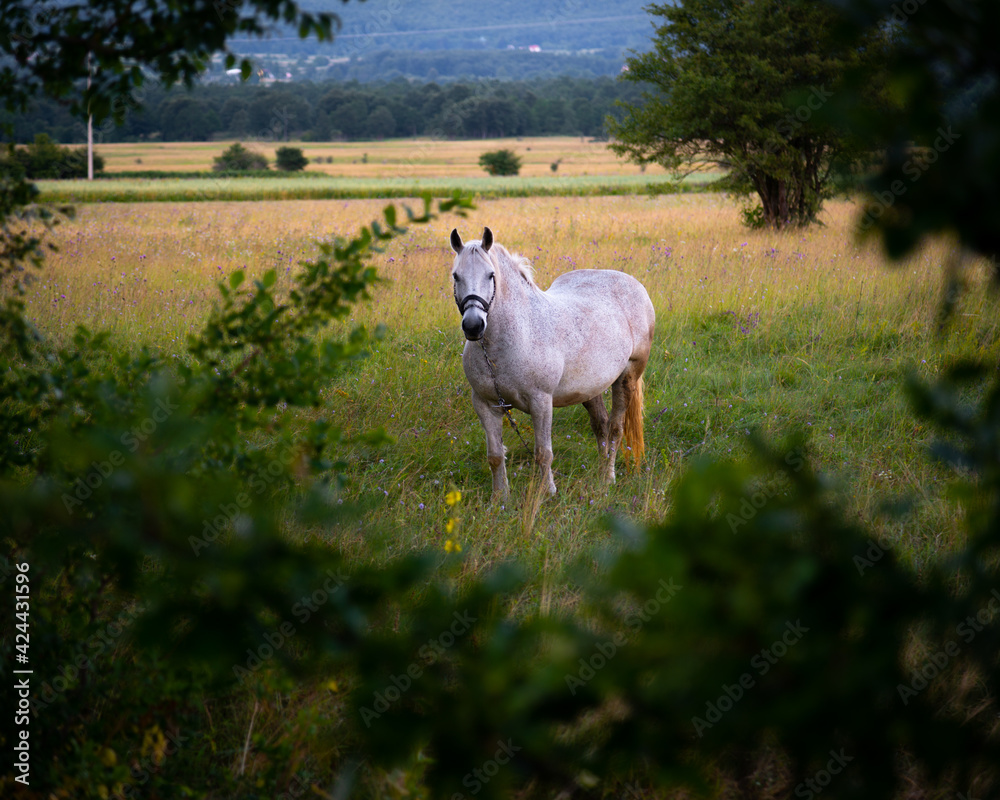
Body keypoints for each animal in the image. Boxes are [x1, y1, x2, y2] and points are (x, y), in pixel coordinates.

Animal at [450, 226, 656, 500]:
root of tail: (636, 286)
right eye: (456, 276)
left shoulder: (541, 402)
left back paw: (608, 478)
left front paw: (547, 493)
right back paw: (601, 474)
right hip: (590, 388)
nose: (473, 326)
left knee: (615, 428)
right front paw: (500, 498)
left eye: (490, 275)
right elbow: (495, 456)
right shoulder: (485, 404)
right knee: (600, 426)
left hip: (627, 377)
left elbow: (543, 453)